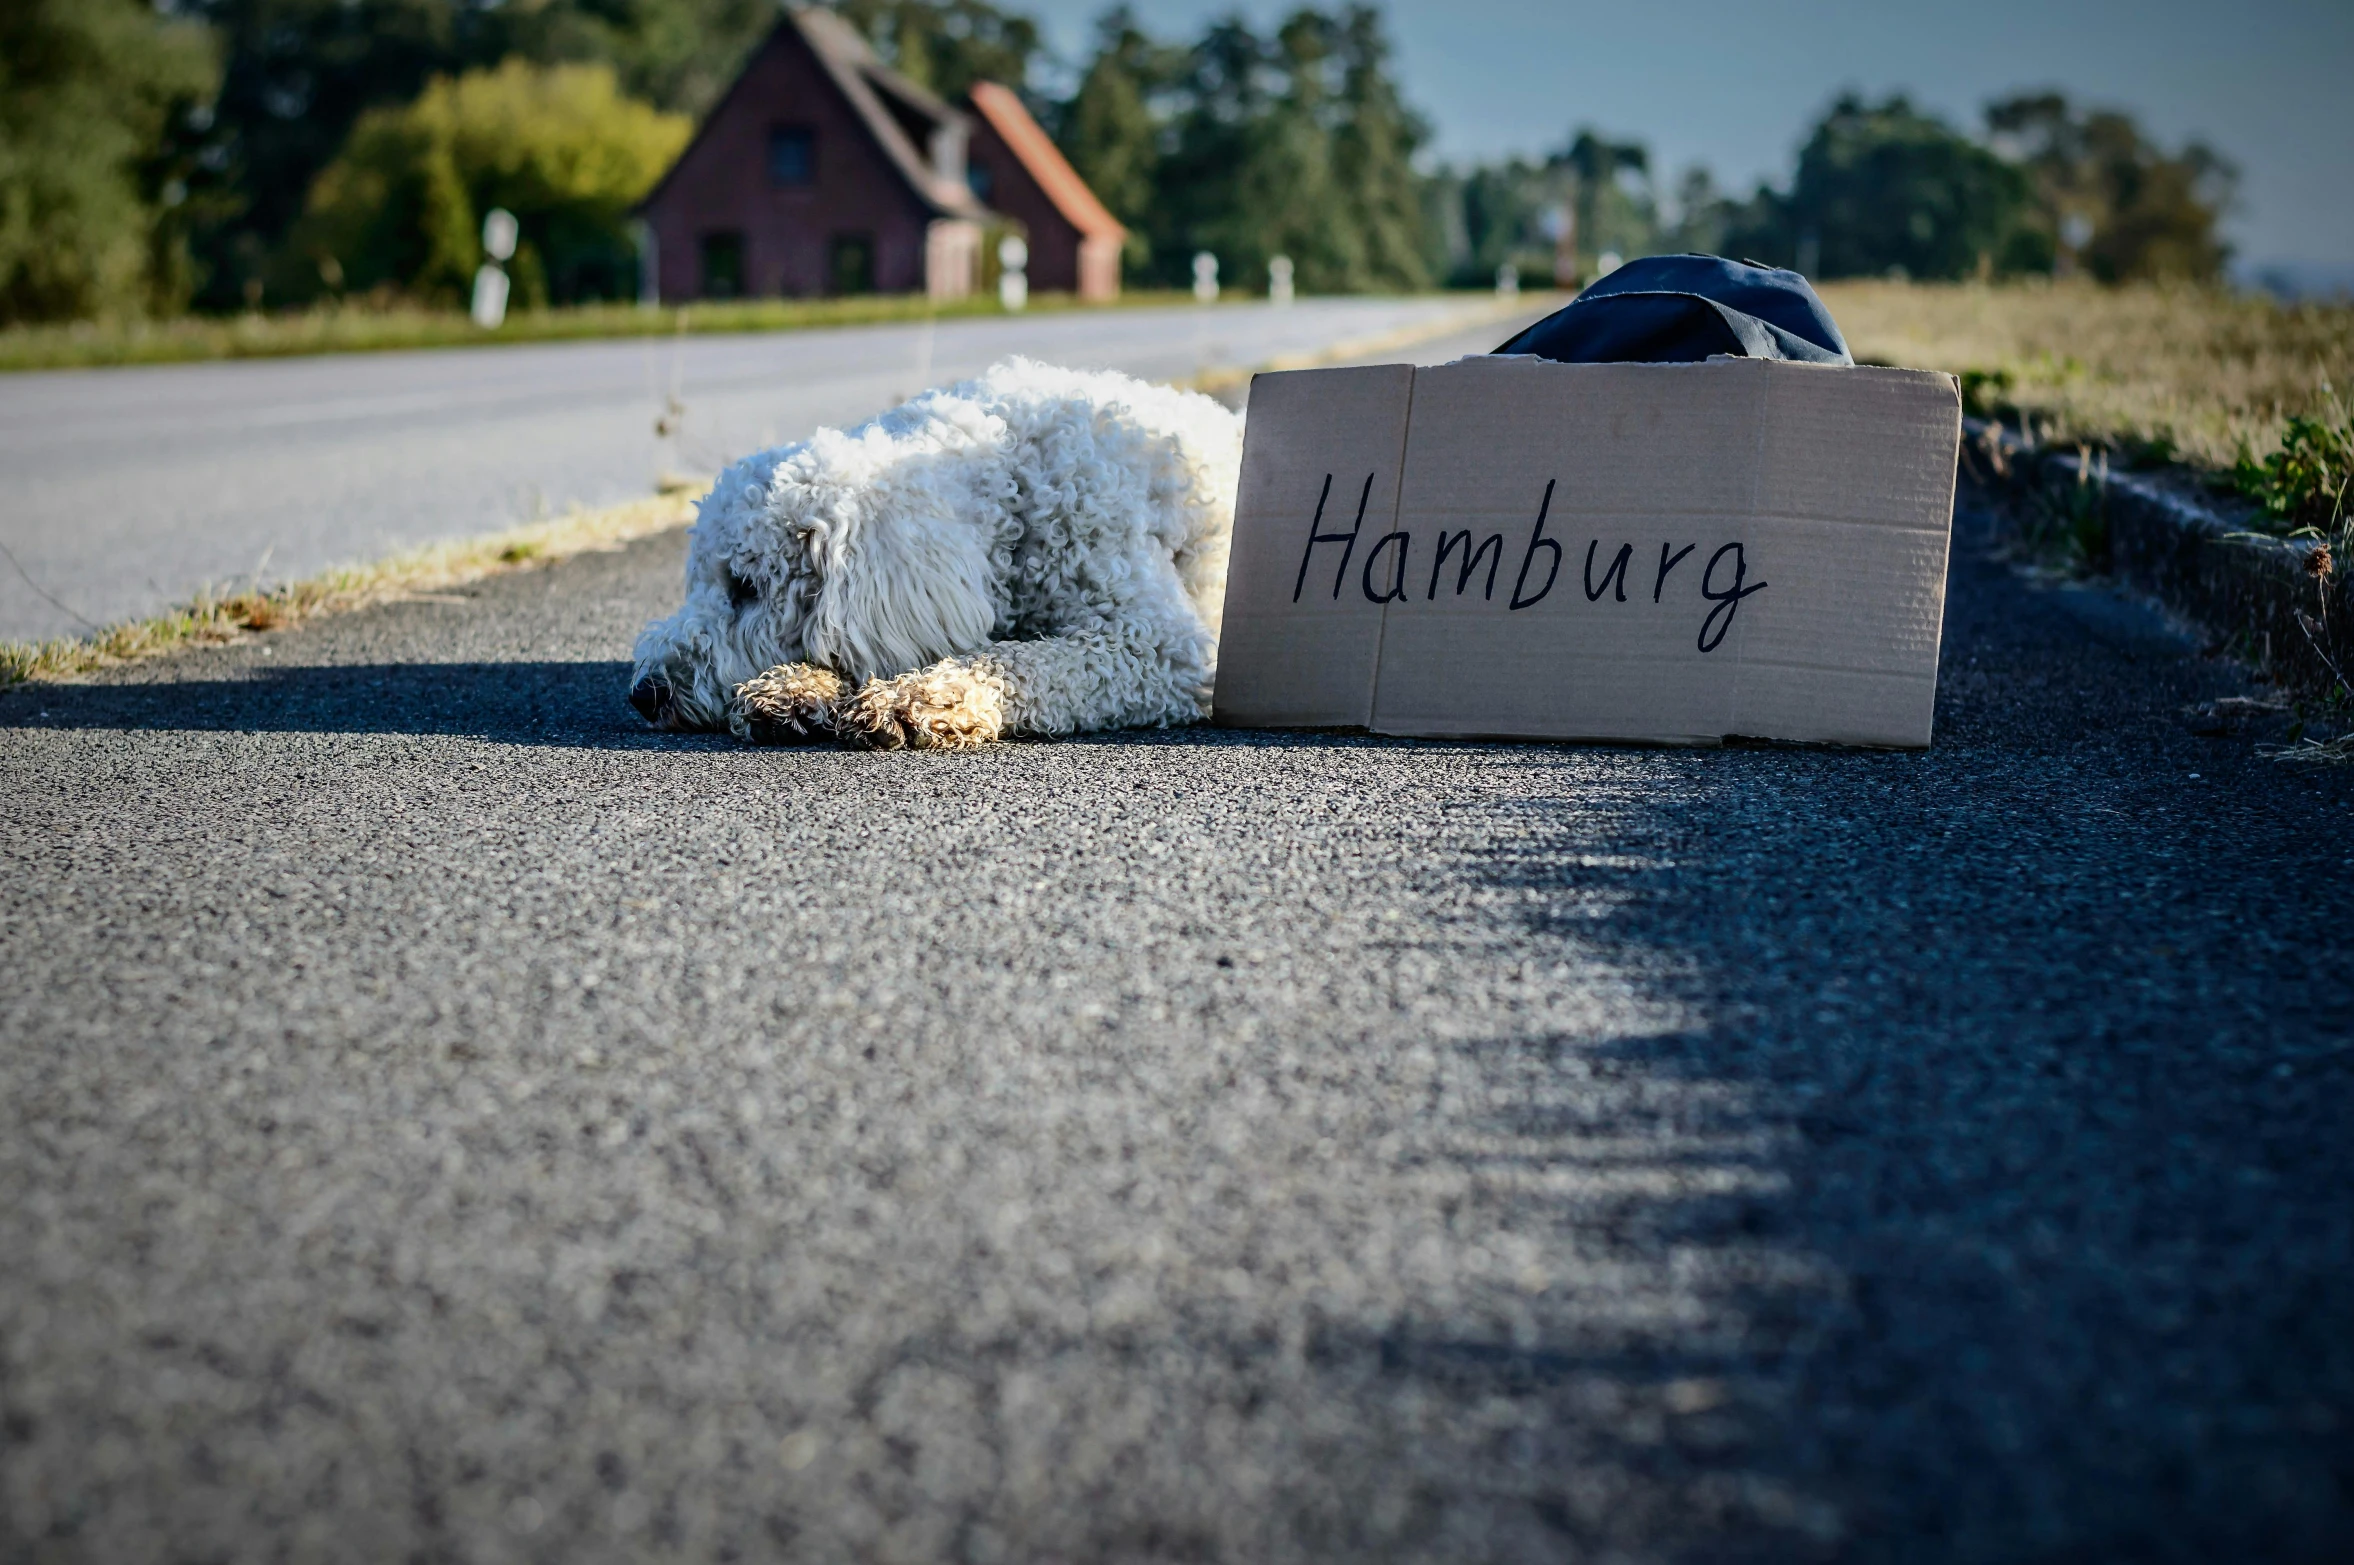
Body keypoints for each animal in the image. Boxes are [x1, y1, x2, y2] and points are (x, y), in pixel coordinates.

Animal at [626, 357, 1252, 748]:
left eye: (746, 587)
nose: (644, 694)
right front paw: (795, 689)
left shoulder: (1155, 645)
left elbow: (1024, 660)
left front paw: (921, 698)